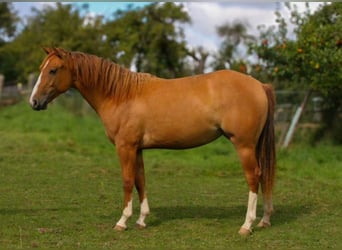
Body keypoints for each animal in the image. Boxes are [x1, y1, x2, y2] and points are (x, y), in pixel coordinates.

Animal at [28, 46, 276, 234]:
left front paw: (122, 221)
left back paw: (247, 225)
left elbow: (128, 181)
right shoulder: (137, 149)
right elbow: (141, 180)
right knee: (264, 175)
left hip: (244, 145)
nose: (34, 102)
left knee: (253, 177)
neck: (121, 95)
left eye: (53, 70)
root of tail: (259, 85)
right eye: (42, 69)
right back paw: (264, 220)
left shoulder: (125, 147)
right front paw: (141, 220)